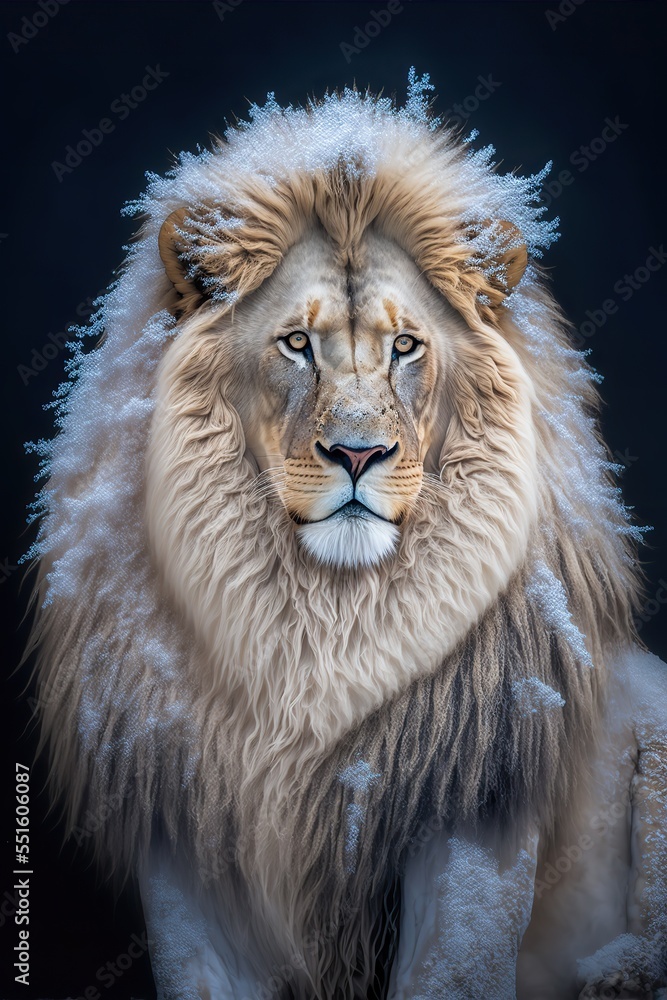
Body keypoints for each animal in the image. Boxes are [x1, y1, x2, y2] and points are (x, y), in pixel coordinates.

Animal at [25, 71, 667, 999]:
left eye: (405, 346)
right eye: (296, 343)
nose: (358, 453)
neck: (324, 623)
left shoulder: (474, 809)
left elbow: (450, 972)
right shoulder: (181, 823)